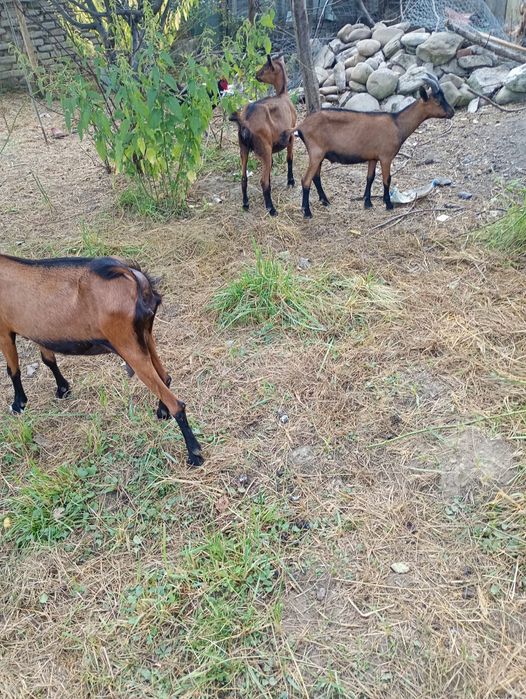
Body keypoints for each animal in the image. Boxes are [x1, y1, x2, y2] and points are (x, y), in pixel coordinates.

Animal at [0, 255, 203, 467]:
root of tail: (133, 277)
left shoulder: (4, 331)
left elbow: (13, 370)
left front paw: (18, 404)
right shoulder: (41, 333)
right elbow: (48, 359)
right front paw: (63, 389)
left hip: (127, 344)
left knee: (176, 404)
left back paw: (194, 454)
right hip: (145, 338)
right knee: (165, 377)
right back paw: (162, 413)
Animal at [230, 54, 297, 216]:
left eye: (265, 68)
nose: (256, 75)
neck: (283, 95)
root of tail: (245, 120)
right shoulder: (291, 135)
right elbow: (289, 158)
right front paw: (291, 181)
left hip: (243, 149)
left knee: (243, 177)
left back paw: (245, 204)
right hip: (264, 149)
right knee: (262, 181)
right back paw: (271, 209)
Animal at [296, 75, 454, 218]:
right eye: (438, 101)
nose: (452, 112)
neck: (397, 124)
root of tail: (301, 127)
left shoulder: (372, 157)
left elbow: (370, 178)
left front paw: (368, 203)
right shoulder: (386, 157)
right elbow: (387, 179)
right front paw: (388, 204)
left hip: (320, 155)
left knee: (316, 177)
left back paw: (325, 201)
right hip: (316, 153)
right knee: (306, 180)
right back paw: (307, 212)